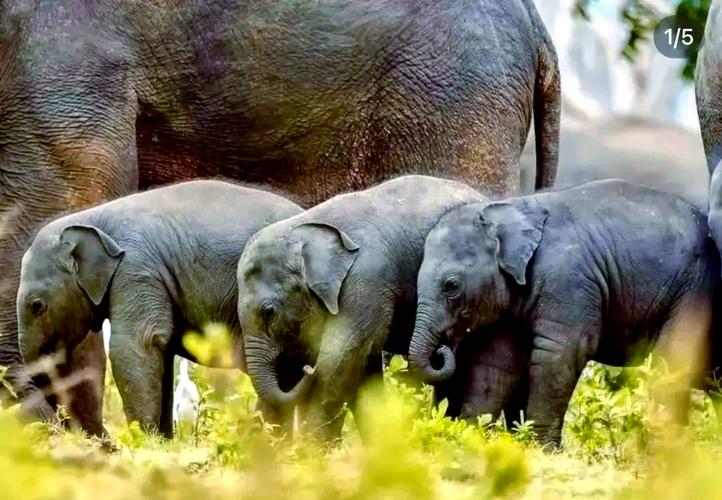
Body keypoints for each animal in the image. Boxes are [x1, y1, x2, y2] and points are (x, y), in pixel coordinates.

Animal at [17, 180, 309, 437]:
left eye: (37, 306)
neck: (93, 218)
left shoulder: (136, 269)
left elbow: (134, 346)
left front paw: (144, 442)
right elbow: (162, 352)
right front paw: (162, 441)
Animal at [236, 175, 488, 441]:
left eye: (269, 312)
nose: (308, 369)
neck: (303, 227)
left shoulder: (368, 280)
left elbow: (341, 361)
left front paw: (313, 448)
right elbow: (363, 367)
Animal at [409, 179, 720, 447]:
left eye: (451, 285)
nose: (442, 351)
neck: (514, 208)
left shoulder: (568, 281)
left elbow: (558, 354)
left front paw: (541, 448)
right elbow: (498, 362)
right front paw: (471, 436)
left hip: (692, 290)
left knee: (672, 361)